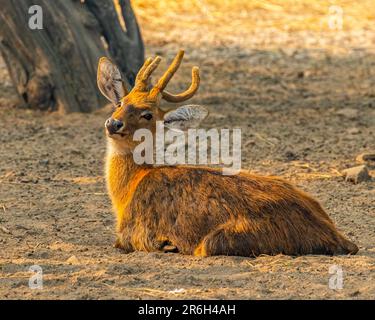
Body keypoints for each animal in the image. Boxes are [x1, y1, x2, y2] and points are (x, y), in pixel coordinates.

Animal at [97, 50, 358, 256]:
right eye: (121, 103)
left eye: (148, 114)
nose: (113, 123)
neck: (128, 191)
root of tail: (337, 237)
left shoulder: (134, 234)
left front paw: (168, 244)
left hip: (219, 239)